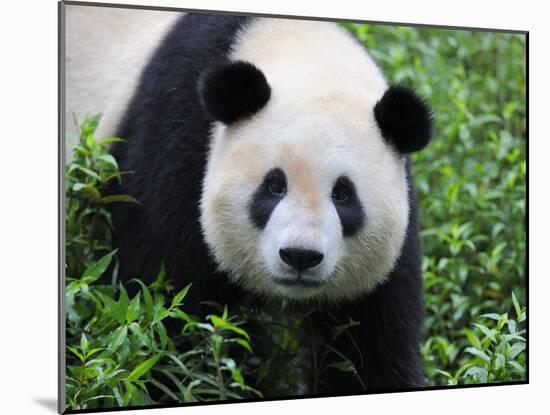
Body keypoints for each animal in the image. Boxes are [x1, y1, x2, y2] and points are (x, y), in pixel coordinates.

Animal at [69, 8, 436, 394]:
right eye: (274, 186)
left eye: (343, 194)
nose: (300, 256)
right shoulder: (174, 148)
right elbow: (167, 315)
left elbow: (371, 345)